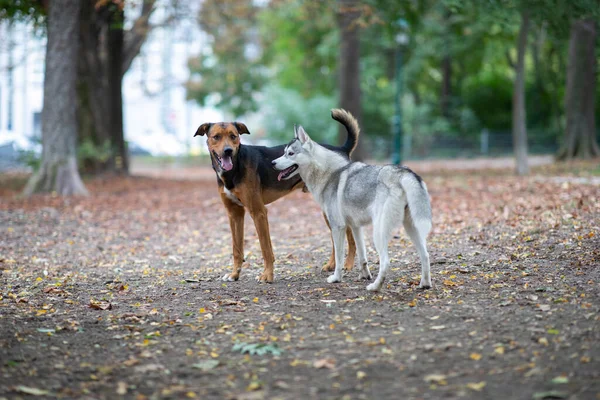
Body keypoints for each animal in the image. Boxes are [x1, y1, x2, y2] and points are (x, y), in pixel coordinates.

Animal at [195, 110, 358, 282]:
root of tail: (341, 148)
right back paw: (332, 265)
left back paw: (348, 264)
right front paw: (234, 274)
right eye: (216, 136)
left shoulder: (258, 212)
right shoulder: (234, 214)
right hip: (327, 210)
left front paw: (267, 275)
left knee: (350, 237)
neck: (235, 167)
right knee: (336, 239)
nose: (227, 151)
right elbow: (237, 249)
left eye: (233, 136)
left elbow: (265, 249)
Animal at [272, 115, 432, 290]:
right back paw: (424, 284)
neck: (329, 174)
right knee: (425, 255)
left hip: (379, 233)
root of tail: (403, 172)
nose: (273, 163)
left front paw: (336, 278)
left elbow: (339, 258)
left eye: (290, 153)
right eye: (283, 153)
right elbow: (362, 256)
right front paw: (364, 276)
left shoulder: (338, 227)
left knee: (386, 262)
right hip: (412, 228)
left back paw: (375, 287)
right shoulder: (356, 227)